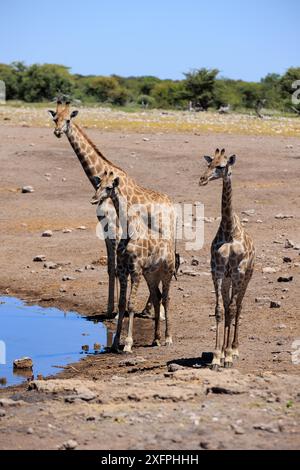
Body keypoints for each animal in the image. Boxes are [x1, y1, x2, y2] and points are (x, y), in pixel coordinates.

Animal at [48, 98, 154, 318]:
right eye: (55, 118)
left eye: (68, 119)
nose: (57, 131)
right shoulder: (105, 230)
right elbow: (110, 269)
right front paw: (109, 309)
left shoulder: (115, 229)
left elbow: (117, 268)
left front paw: (116, 312)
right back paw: (148, 309)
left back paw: (151, 310)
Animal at [91, 169, 176, 352]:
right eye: (98, 184)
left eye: (109, 187)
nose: (94, 199)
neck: (129, 230)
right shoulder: (124, 270)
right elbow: (122, 304)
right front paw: (116, 342)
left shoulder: (135, 270)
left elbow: (131, 304)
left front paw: (128, 344)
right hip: (151, 276)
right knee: (157, 298)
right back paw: (156, 339)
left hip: (167, 273)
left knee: (166, 299)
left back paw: (168, 338)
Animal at [199, 149, 255, 370]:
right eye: (209, 163)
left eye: (221, 166)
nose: (202, 179)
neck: (229, 230)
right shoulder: (218, 271)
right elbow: (219, 310)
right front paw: (216, 356)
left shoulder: (239, 270)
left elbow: (231, 309)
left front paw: (229, 356)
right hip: (229, 279)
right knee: (227, 306)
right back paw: (223, 351)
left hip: (246, 277)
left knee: (238, 307)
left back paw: (234, 350)